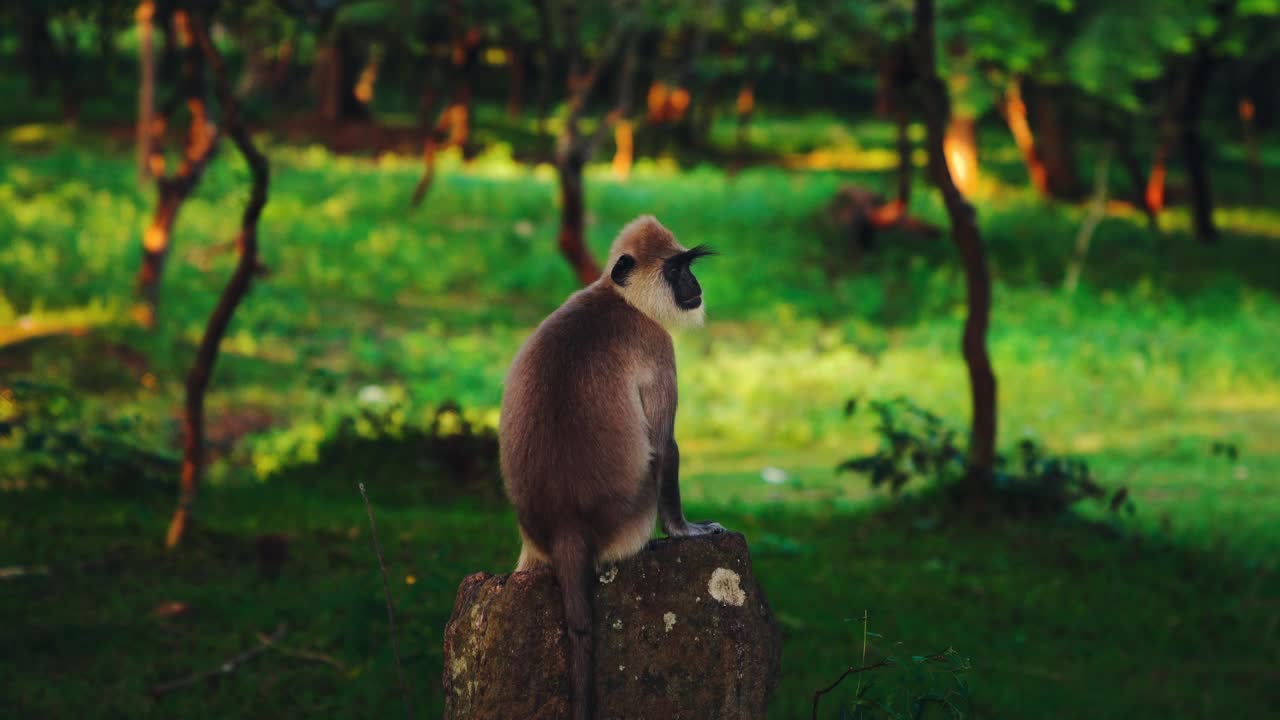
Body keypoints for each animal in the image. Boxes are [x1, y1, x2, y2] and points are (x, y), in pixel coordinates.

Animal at [499, 215, 725, 720]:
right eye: (676, 269)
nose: (695, 286)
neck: (617, 297)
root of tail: (566, 526)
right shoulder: (657, 345)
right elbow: (664, 446)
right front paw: (685, 530)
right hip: (633, 515)